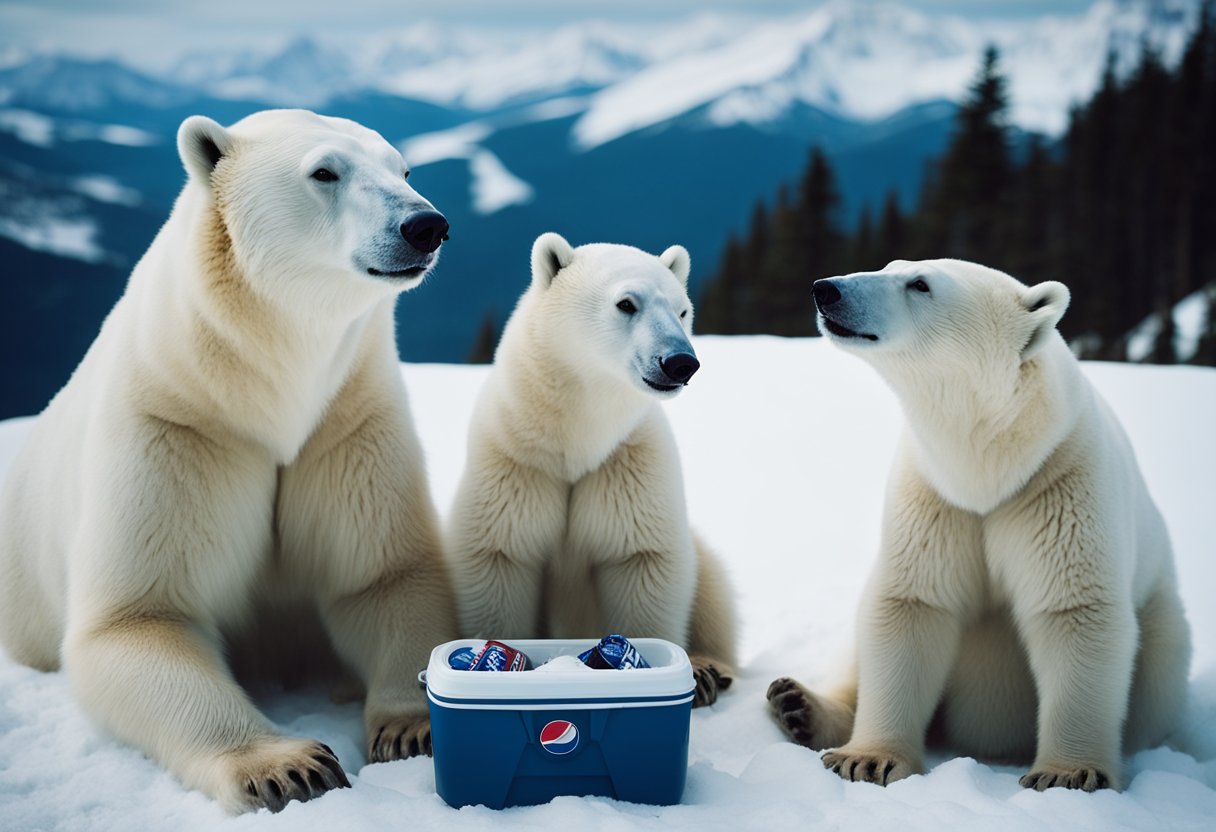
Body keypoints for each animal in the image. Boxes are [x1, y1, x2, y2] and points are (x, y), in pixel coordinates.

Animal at [0, 109, 459, 813]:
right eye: (324, 171)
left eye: (403, 168)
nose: (424, 225)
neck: (265, 396)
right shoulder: (179, 427)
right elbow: (138, 619)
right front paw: (291, 767)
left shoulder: (345, 422)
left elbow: (387, 575)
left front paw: (410, 728)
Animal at [445, 232, 737, 705]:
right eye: (626, 303)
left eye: (682, 310)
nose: (680, 362)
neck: (576, 443)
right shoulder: (516, 463)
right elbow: (500, 556)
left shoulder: (627, 464)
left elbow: (643, 559)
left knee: (712, 585)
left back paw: (711, 669)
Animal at [767, 258, 1191, 792]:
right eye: (890, 265)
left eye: (920, 284)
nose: (826, 290)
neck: (991, 469)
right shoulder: (936, 496)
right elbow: (911, 603)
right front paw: (867, 759)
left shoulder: (1060, 484)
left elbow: (1073, 610)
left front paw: (1067, 773)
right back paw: (796, 702)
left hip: (1163, 627)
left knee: (1158, 679)